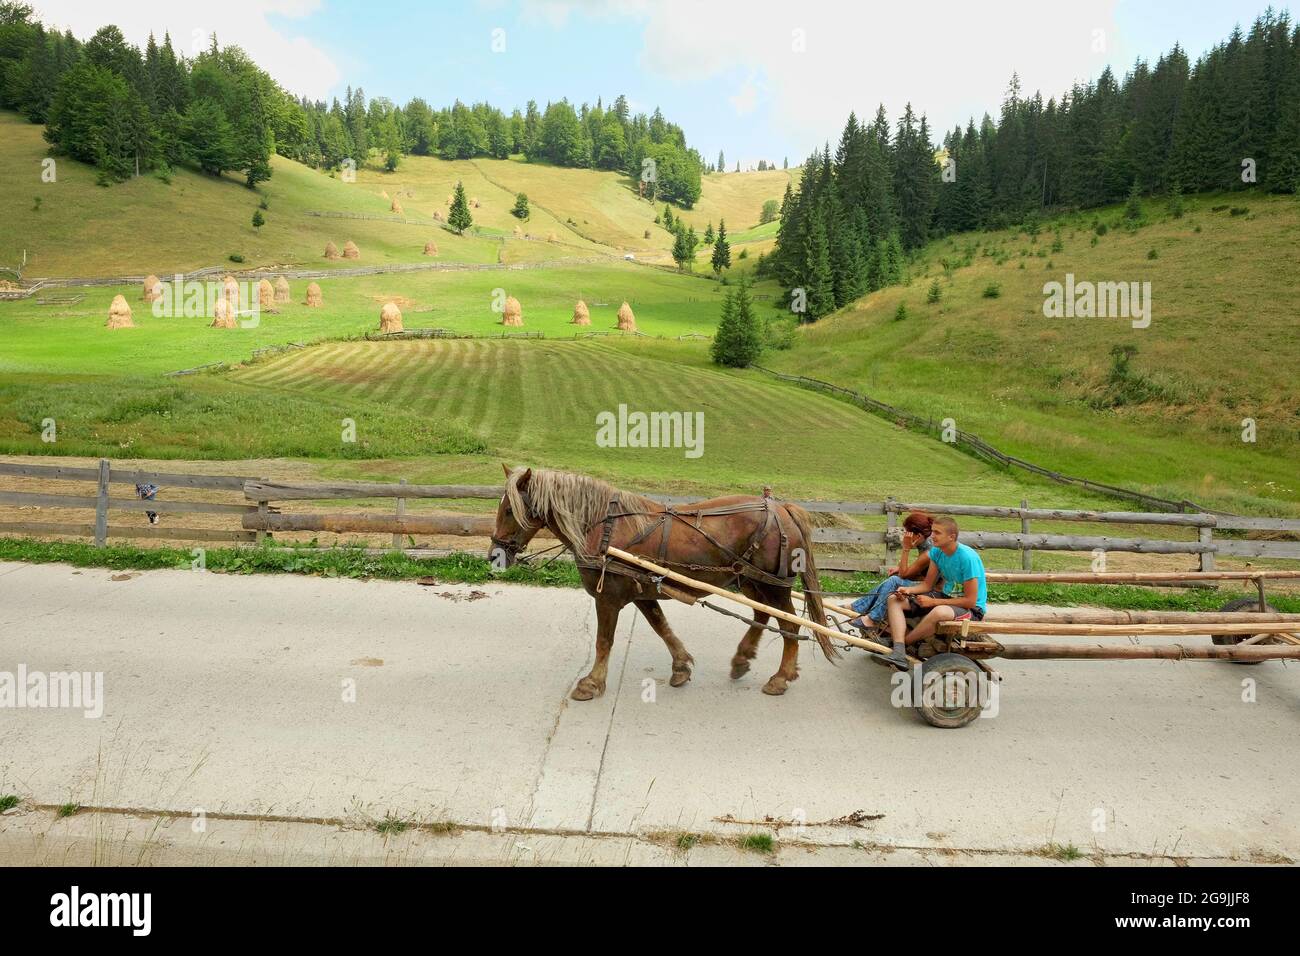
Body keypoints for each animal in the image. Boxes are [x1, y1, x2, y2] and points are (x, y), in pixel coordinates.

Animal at [488, 468, 842, 697]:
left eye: (510, 510)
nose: (495, 555)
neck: (603, 528)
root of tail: (783, 508)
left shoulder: (608, 597)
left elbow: (604, 641)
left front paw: (592, 682)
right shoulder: (642, 591)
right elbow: (662, 627)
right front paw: (681, 666)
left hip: (773, 585)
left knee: (789, 626)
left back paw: (781, 677)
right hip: (750, 582)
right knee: (762, 616)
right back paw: (742, 659)